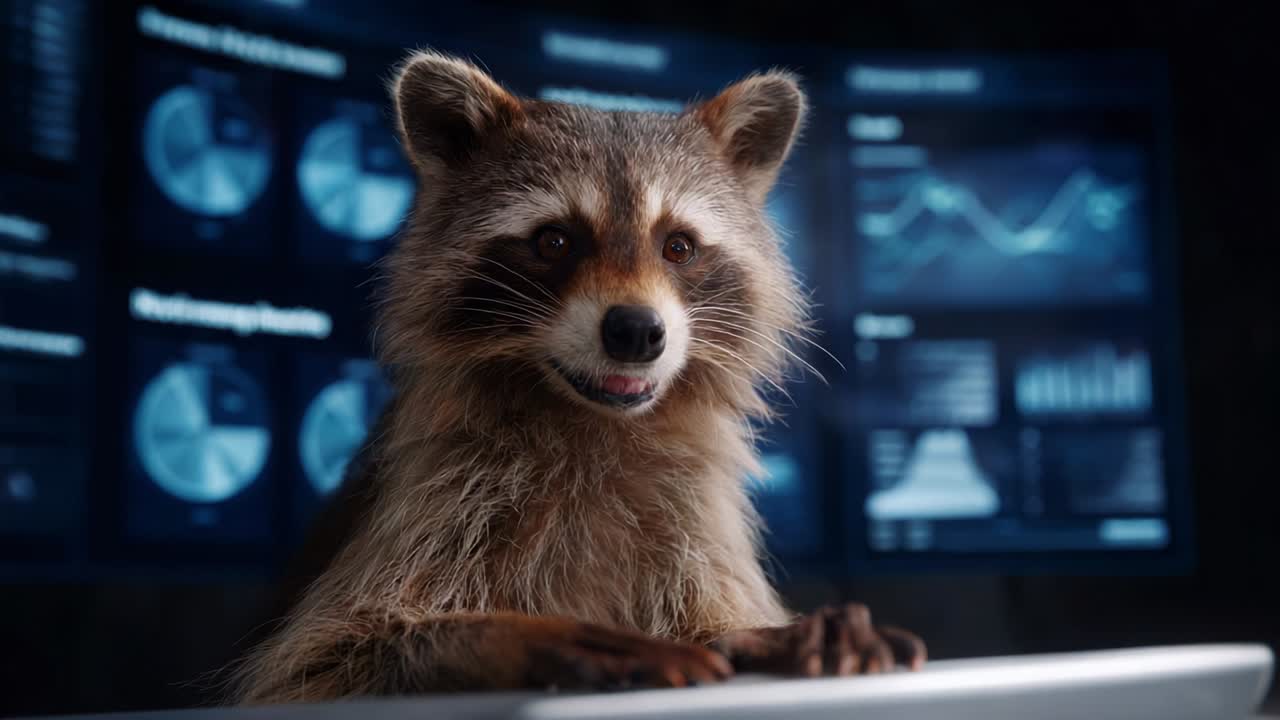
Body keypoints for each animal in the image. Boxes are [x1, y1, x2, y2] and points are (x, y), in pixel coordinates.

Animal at [233, 51, 924, 703]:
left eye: (678, 246)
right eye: (554, 241)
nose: (637, 332)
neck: (592, 419)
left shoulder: (694, 519)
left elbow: (715, 614)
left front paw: (757, 635)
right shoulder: (428, 498)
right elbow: (329, 658)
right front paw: (522, 636)